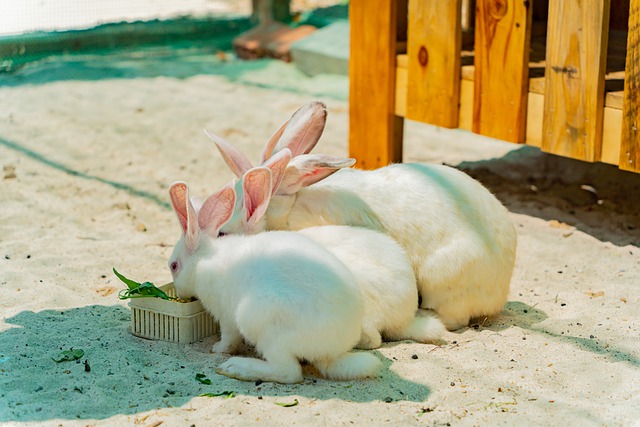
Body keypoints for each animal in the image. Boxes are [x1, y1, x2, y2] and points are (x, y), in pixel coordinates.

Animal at [168, 179, 382, 382]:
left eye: (173, 266)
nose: (179, 293)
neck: (203, 259)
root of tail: (332, 351)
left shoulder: (226, 315)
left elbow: (229, 338)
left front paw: (217, 349)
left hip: (259, 322)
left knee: (288, 372)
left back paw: (235, 367)